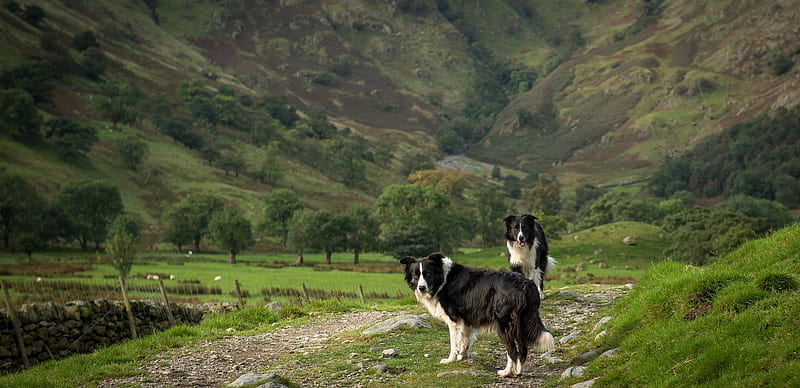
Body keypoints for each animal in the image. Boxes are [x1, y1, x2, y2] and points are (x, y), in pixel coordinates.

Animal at [400, 252, 556, 376]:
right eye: (415, 276)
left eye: (428, 274)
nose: (421, 288)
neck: (442, 280)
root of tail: (525, 284)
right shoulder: (466, 319)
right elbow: (465, 340)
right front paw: (462, 357)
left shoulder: (454, 320)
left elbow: (454, 342)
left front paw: (450, 360)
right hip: (521, 322)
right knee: (523, 349)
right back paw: (518, 371)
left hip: (504, 324)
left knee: (512, 350)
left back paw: (506, 372)